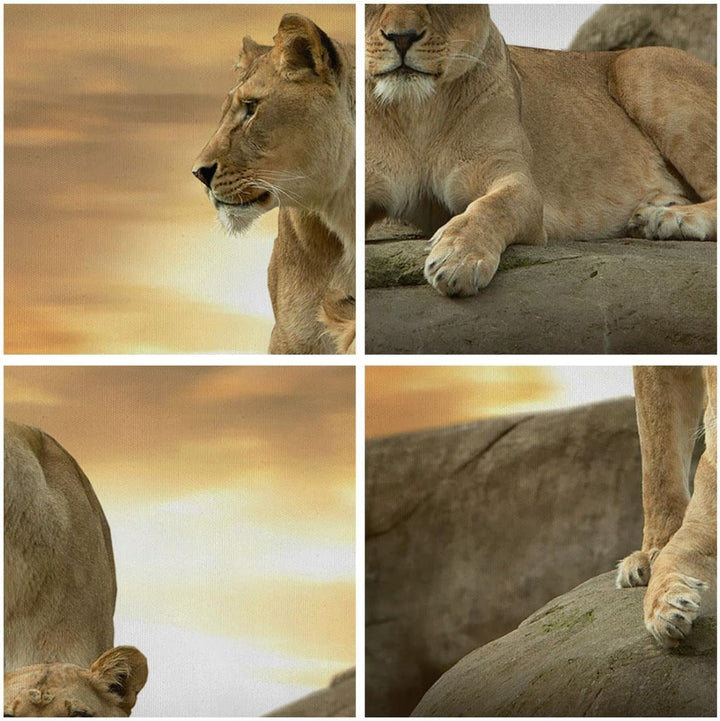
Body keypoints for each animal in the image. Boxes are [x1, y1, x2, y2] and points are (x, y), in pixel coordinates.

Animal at [365, 5, 717, 297]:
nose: (402, 38)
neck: (417, 111)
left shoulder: (517, 182)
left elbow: (493, 207)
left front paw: (458, 257)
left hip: (639, 64)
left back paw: (666, 218)